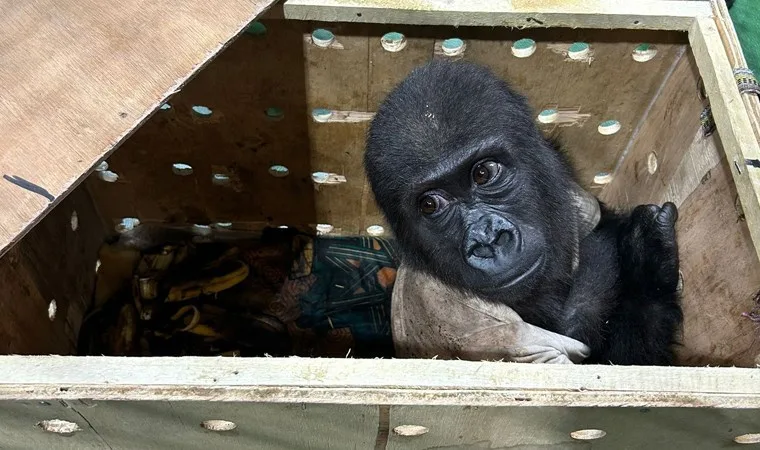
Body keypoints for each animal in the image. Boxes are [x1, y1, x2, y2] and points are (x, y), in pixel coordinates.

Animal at [362, 59, 684, 364]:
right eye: (430, 204)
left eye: (483, 173)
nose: (488, 239)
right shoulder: (473, 324)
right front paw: (647, 268)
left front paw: (646, 259)